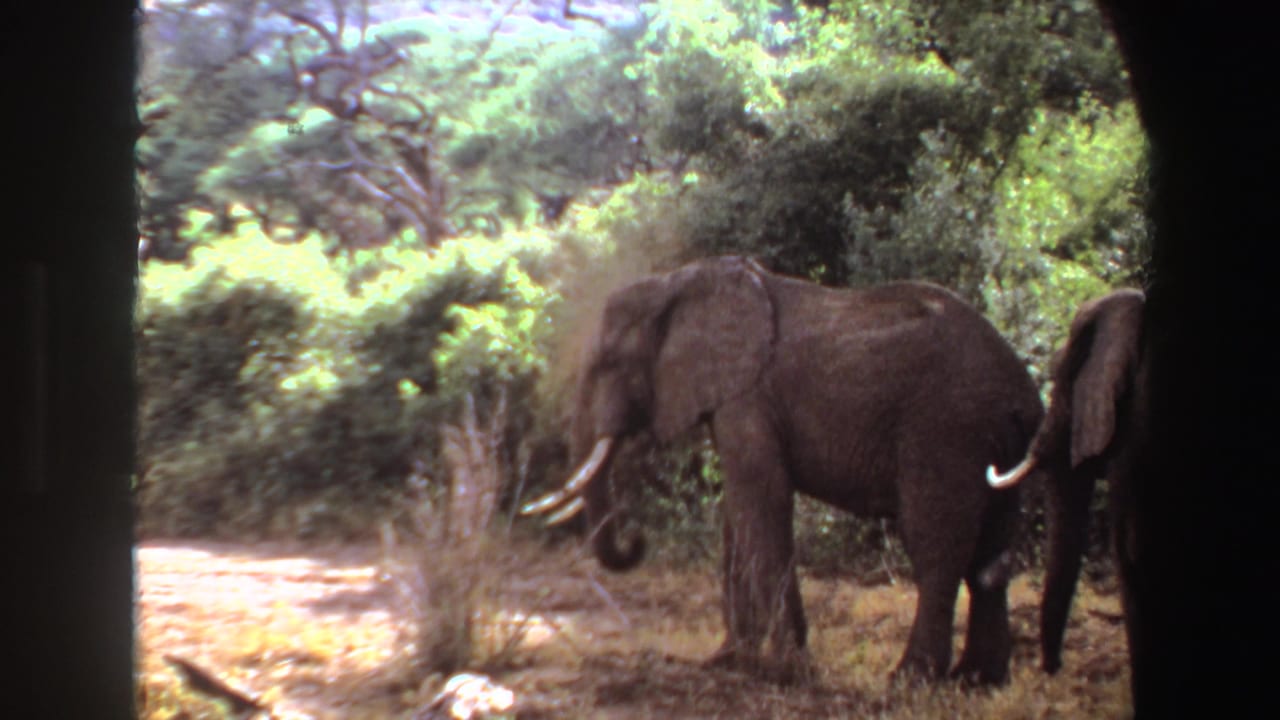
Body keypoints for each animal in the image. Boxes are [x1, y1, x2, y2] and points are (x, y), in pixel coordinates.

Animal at [522, 255, 1044, 685]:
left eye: (609, 364)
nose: (636, 540)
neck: (677, 282)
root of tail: (1023, 391)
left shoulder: (748, 397)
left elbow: (762, 500)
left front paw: (789, 671)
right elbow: (738, 513)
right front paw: (728, 661)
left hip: (947, 430)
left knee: (935, 545)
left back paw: (911, 679)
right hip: (994, 442)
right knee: (992, 551)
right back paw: (979, 682)